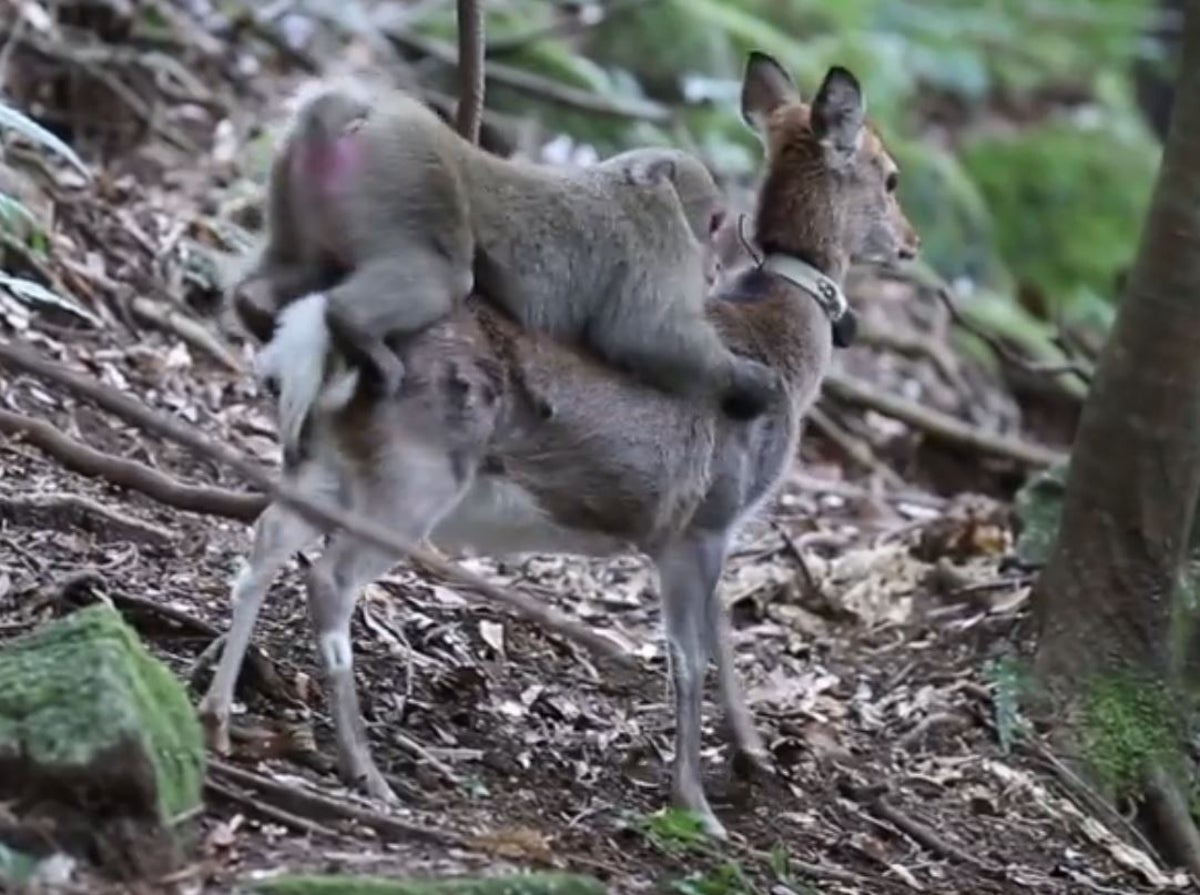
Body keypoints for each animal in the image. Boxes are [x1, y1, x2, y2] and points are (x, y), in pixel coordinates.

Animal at [236, 83, 777, 417]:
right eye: (714, 224)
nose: (714, 269)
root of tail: (359, 113)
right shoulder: (661, 242)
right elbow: (643, 336)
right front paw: (747, 380)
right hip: (407, 176)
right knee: (443, 277)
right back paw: (359, 331)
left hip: (292, 181)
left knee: (300, 265)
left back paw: (257, 305)